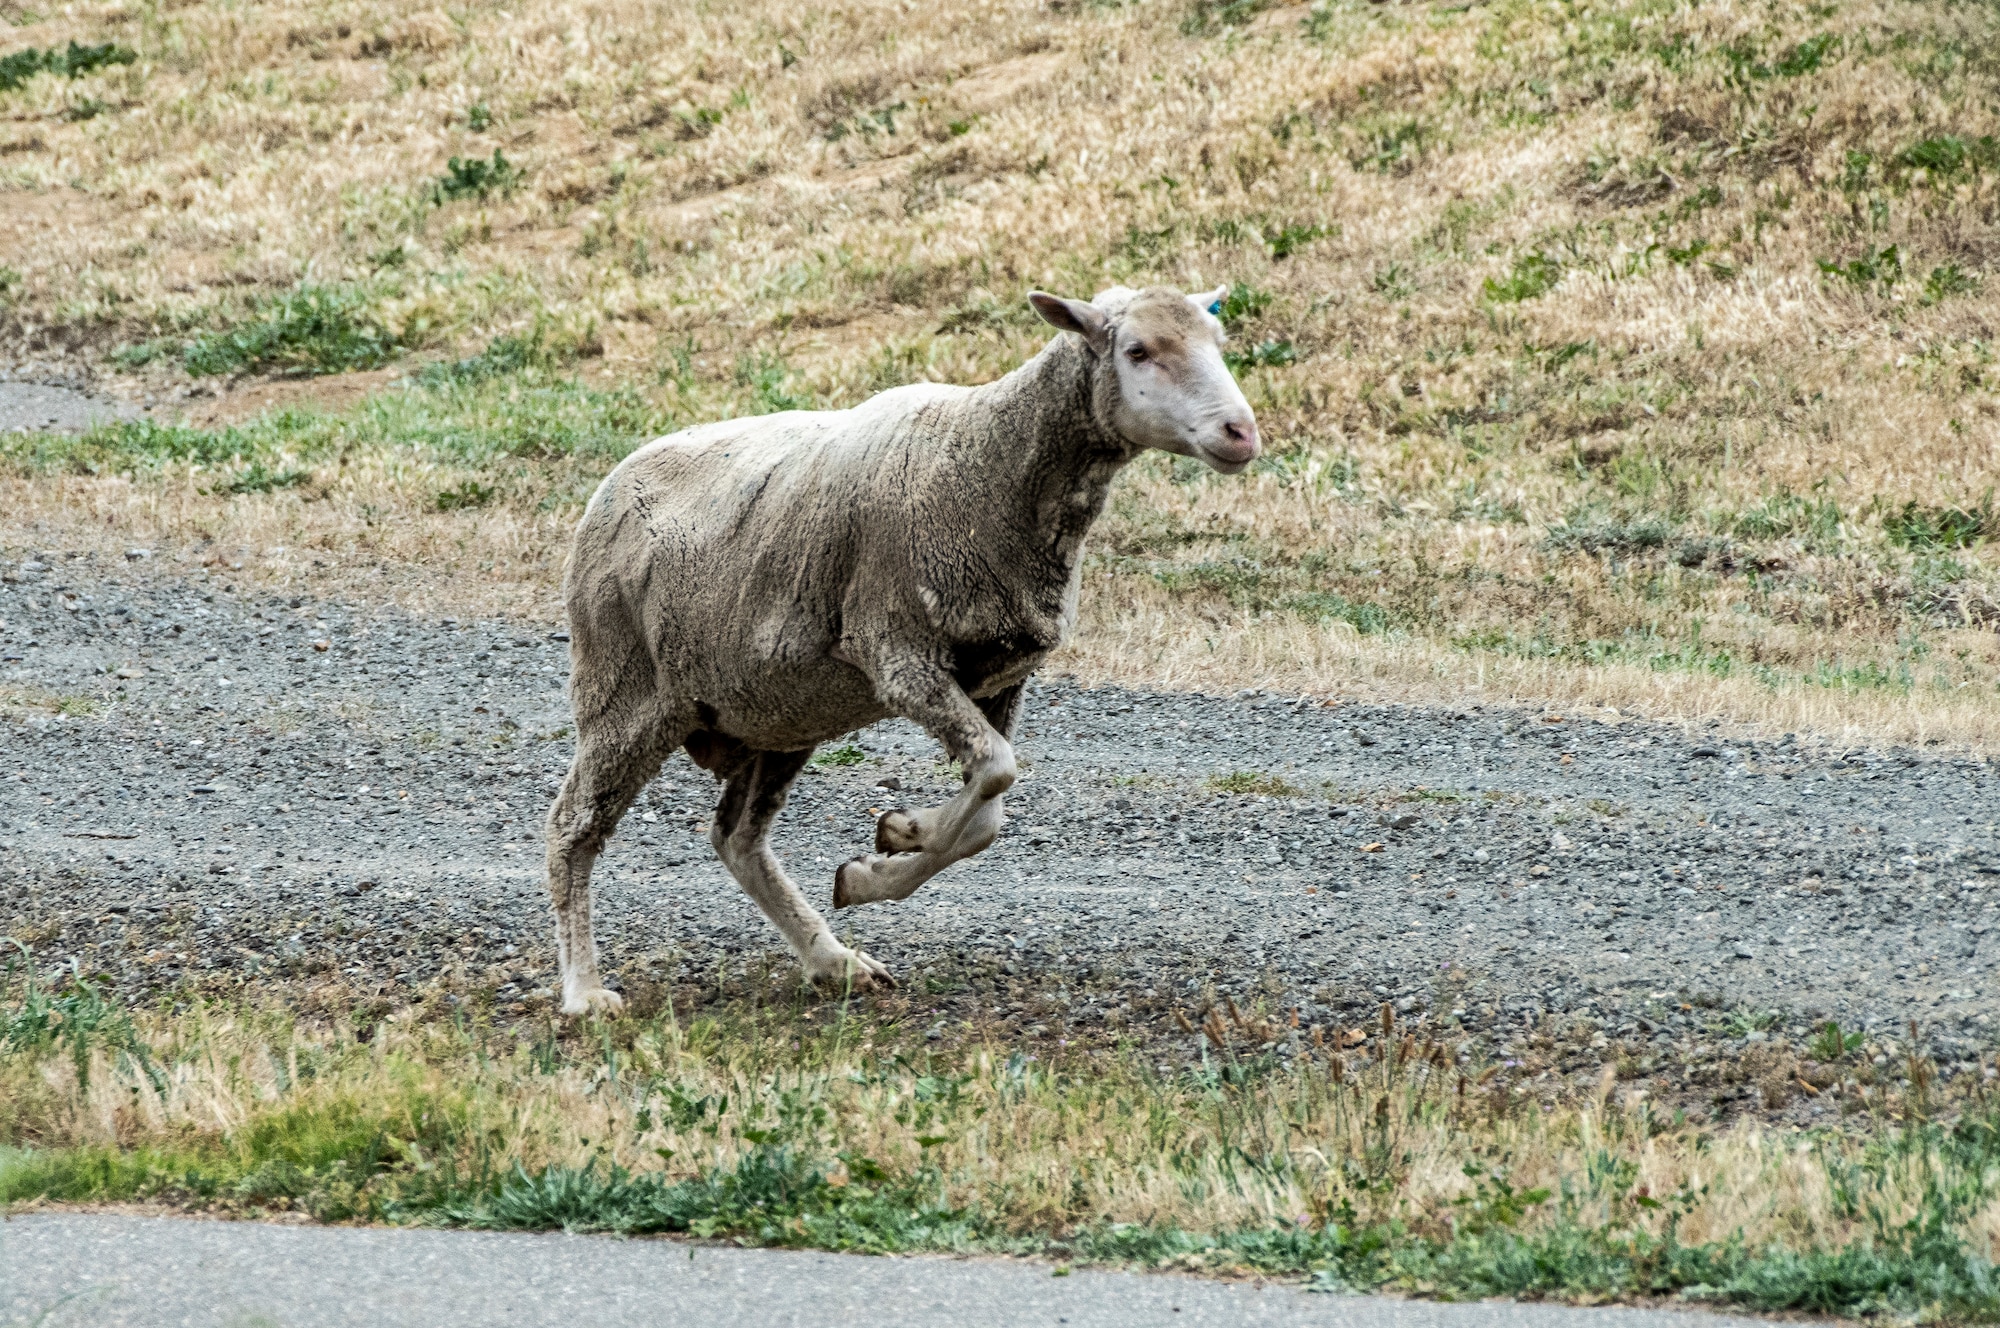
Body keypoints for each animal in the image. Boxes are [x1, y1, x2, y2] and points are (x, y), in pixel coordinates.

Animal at [544, 286, 1264, 1012]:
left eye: (1218, 341)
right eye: (1137, 350)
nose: (1242, 432)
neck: (988, 462)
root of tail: (606, 489)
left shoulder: (1001, 679)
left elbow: (990, 806)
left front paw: (882, 854)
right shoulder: (900, 656)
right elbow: (996, 772)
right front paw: (892, 846)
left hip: (778, 710)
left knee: (738, 838)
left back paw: (833, 960)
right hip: (625, 692)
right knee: (572, 826)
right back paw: (585, 990)